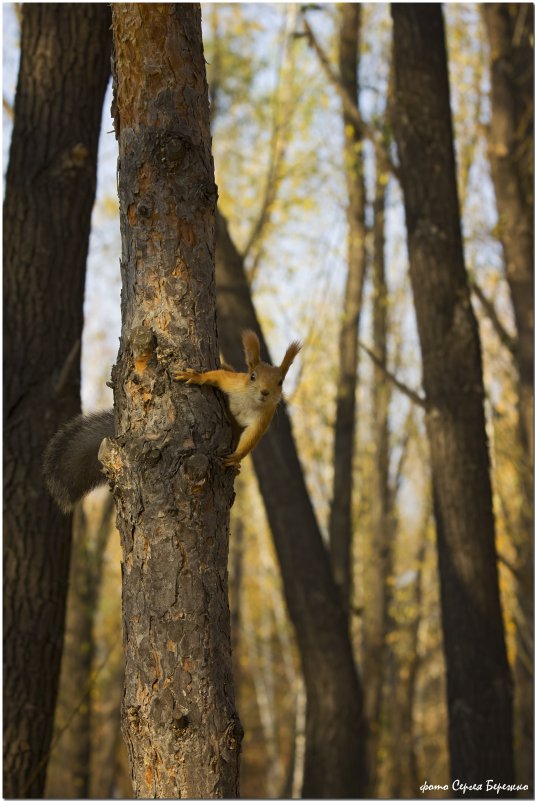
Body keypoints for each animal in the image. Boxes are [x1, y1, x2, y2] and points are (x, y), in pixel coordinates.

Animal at [43, 330, 302, 512]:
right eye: (252, 377)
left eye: (280, 382)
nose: (265, 393)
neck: (250, 402)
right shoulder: (234, 383)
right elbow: (216, 377)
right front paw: (194, 376)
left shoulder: (264, 416)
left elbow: (252, 439)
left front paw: (235, 458)